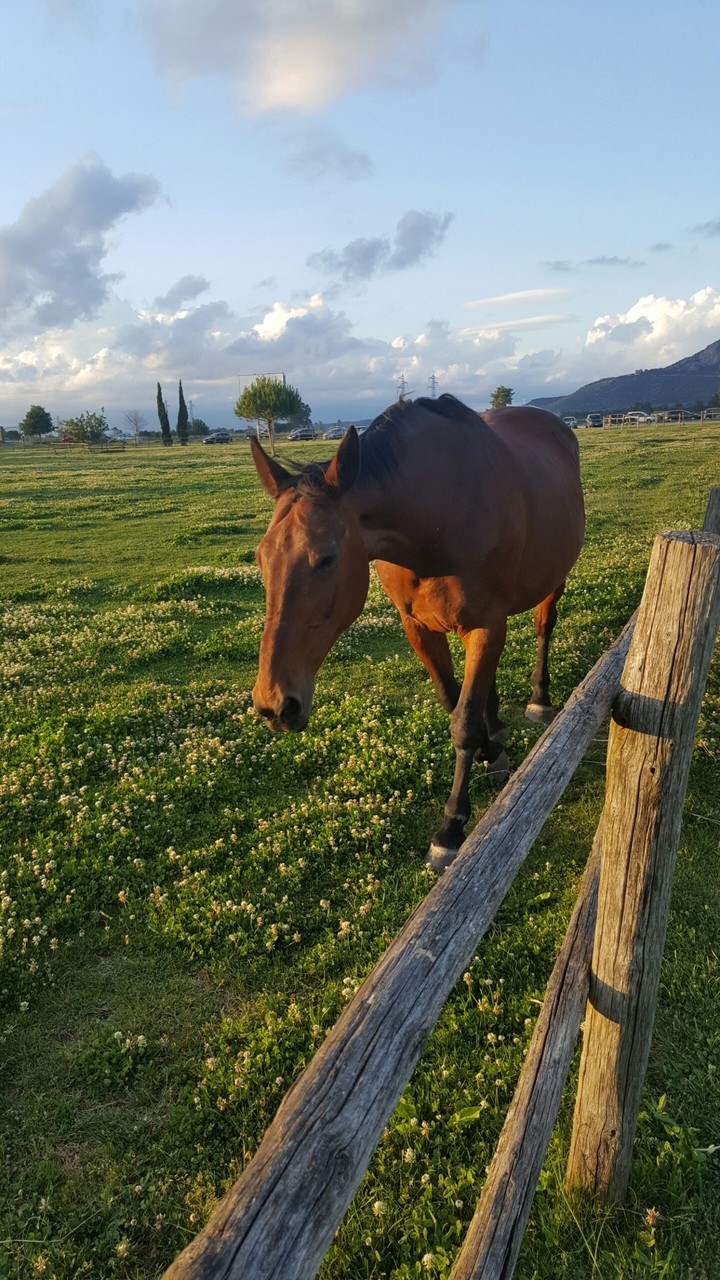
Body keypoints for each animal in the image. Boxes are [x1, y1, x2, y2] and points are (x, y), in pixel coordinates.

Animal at [250, 394, 585, 868]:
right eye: (260, 558)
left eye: (327, 558)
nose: (274, 705)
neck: (437, 520)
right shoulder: (420, 627)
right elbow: (453, 699)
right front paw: (492, 751)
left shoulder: (486, 624)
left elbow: (463, 722)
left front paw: (451, 827)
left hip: (553, 582)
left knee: (543, 629)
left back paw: (539, 698)